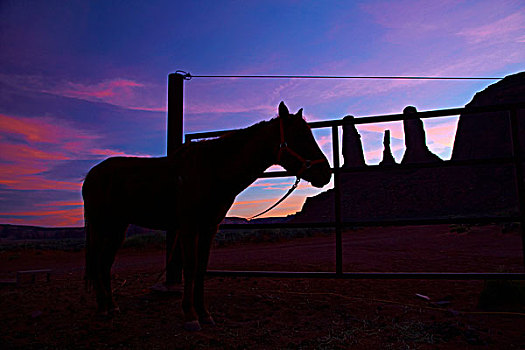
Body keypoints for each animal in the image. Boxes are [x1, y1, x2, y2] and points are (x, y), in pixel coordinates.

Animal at [83, 101, 330, 330]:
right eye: (300, 136)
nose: (326, 173)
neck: (212, 170)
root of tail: (91, 175)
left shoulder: (209, 227)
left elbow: (201, 268)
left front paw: (204, 314)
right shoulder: (188, 227)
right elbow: (191, 268)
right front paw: (190, 316)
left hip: (117, 227)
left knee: (103, 264)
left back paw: (110, 307)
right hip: (102, 225)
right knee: (98, 263)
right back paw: (103, 309)